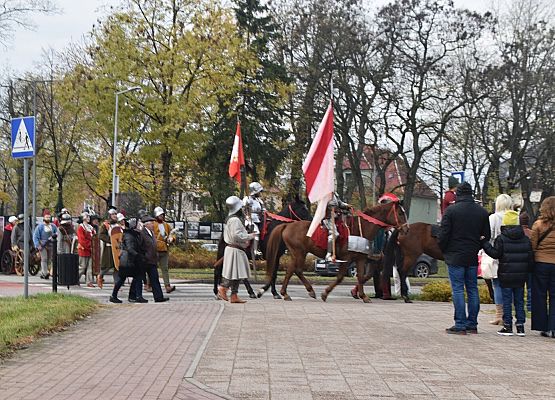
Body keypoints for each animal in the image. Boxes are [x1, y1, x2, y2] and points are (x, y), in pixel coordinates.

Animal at [260, 202, 408, 302]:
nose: (405, 229)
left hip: (297, 253)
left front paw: (363, 296)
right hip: (299, 253)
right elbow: (340, 277)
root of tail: (287, 225)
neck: (361, 228)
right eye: (400, 213)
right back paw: (292, 293)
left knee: (294, 270)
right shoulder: (347, 259)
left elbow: (360, 277)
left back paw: (295, 292)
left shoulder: (360, 259)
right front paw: (325, 293)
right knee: (294, 270)